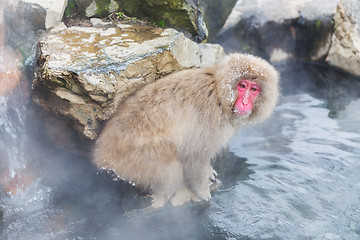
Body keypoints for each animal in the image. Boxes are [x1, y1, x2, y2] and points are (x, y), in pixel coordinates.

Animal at [92, 53, 278, 207]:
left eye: (254, 89)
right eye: (242, 86)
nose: (245, 103)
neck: (219, 93)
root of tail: (100, 156)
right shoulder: (210, 117)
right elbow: (195, 154)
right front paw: (202, 191)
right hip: (137, 161)